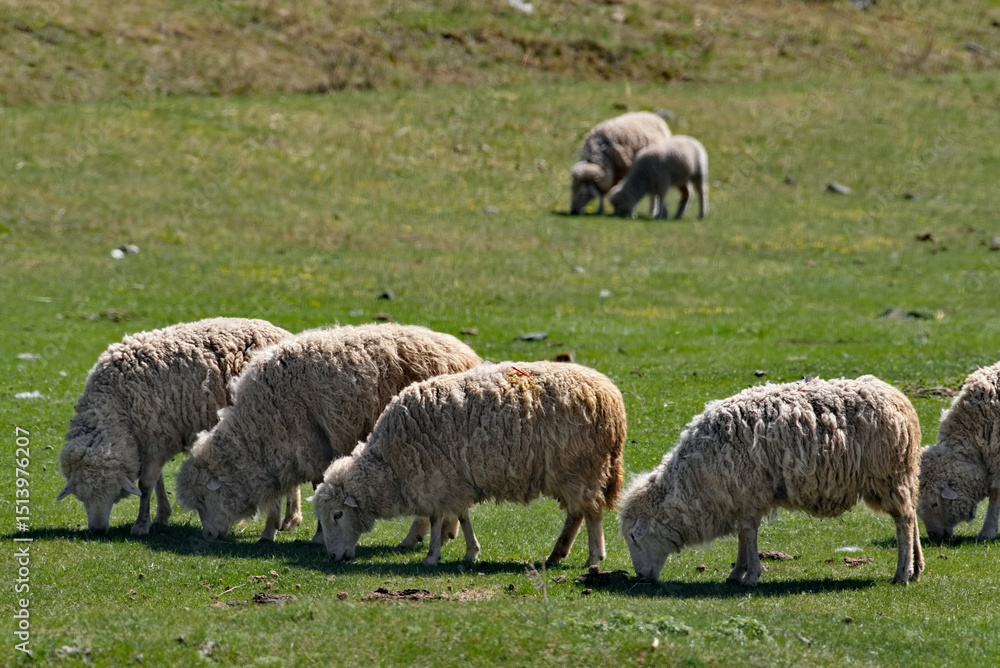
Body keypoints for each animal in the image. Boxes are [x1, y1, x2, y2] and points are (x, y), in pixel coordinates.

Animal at [57, 317, 293, 535]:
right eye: (82, 497)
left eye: (113, 495)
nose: (97, 530)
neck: (115, 403)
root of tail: (281, 332)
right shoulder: (152, 441)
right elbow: (157, 482)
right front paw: (161, 516)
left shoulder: (156, 438)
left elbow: (145, 485)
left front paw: (141, 524)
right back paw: (291, 518)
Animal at [174, 323, 482, 543]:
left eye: (203, 500)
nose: (209, 536)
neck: (258, 424)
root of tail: (466, 354)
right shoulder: (284, 452)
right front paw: (270, 532)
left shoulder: (311, 449)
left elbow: (313, 488)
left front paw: (317, 536)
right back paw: (445, 530)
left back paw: (417, 536)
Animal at [313, 360, 627, 568]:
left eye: (338, 515)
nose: (333, 557)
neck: (390, 465)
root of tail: (611, 398)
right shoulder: (455, 481)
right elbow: (462, 515)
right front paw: (470, 551)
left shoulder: (436, 480)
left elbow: (436, 518)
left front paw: (432, 556)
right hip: (573, 471)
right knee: (577, 513)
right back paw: (557, 554)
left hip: (581, 465)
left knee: (592, 511)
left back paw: (593, 558)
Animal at [619, 376, 924, 586]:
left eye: (634, 536)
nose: (641, 577)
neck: (696, 479)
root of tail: (900, 400)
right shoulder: (742, 499)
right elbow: (743, 535)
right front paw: (737, 572)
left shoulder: (749, 493)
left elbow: (749, 534)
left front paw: (751, 575)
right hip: (903, 475)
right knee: (910, 516)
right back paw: (916, 567)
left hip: (889, 475)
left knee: (904, 522)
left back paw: (902, 573)